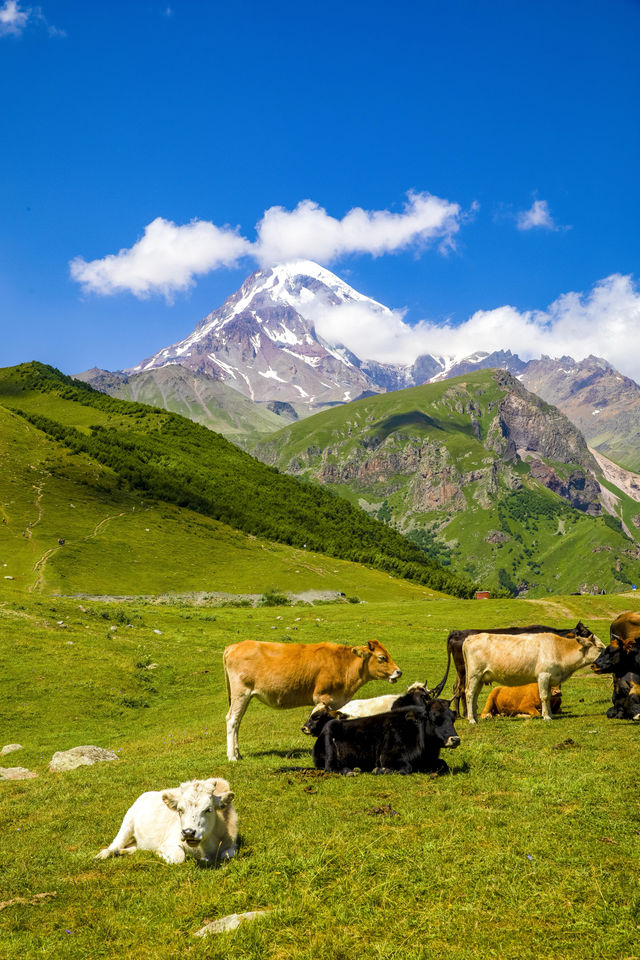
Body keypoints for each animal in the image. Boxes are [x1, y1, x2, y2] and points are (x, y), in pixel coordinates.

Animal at [97, 776, 240, 868]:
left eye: (208, 809)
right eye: (180, 810)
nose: (188, 832)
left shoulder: (232, 843)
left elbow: (227, 854)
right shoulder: (170, 841)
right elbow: (178, 857)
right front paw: (160, 854)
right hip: (127, 822)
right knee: (115, 844)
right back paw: (102, 855)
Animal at [221, 640, 400, 760]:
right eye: (382, 657)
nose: (399, 672)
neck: (343, 665)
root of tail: (234, 646)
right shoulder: (324, 697)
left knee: (238, 721)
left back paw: (238, 753)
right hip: (241, 693)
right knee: (232, 720)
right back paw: (232, 756)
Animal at [306, 688, 460, 776]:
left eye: (453, 718)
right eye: (434, 718)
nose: (455, 739)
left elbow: (443, 764)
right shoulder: (387, 757)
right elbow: (407, 767)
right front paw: (381, 770)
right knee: (330, 767)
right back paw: (349, 771)